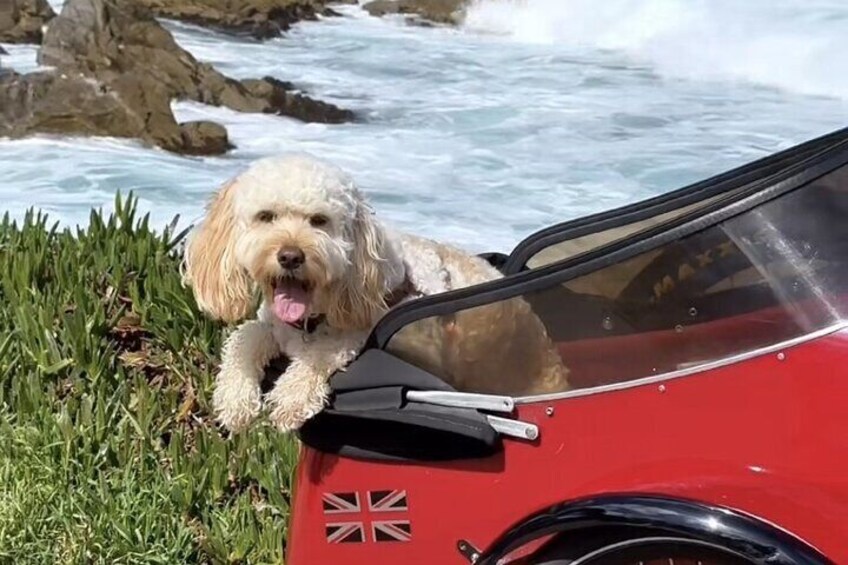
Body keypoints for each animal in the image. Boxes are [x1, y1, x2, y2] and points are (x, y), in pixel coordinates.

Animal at [185, 154, 568, 432]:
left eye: (319, 221)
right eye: (266, 216)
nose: (291, 256)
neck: (311, 320)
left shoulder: (358, 329)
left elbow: (321, 354)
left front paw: (291, 398)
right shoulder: (272, 326)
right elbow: (243, 337)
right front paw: (234, 400)